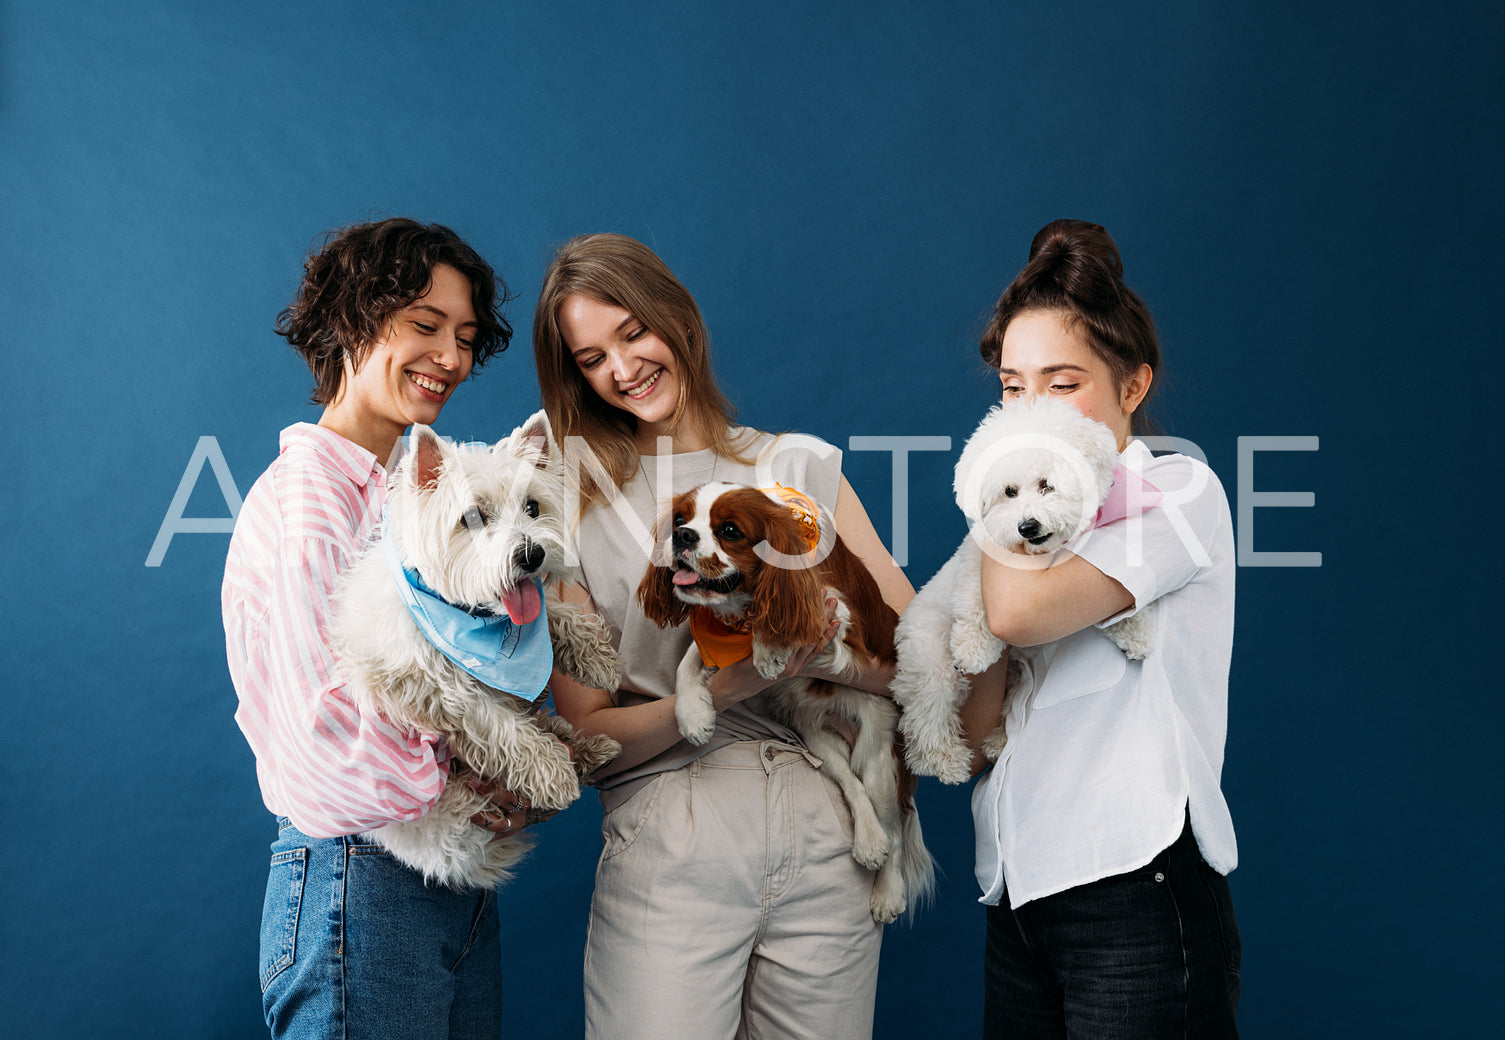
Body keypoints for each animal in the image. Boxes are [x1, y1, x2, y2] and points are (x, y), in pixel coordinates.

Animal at [335, 412, 623, 890]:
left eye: (533, 507)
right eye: (471, 518)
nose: (532, 554)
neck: (469, 617)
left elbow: (554, 612)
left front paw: (598, 658)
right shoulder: (445, 691)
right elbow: (506, 730)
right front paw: (553, 775)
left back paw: (590, 748)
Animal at [890, 397, 1149, 782]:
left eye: (1046, 485)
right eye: (1009, 492)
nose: (1027, 526)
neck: (1043, 555)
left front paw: (1135, 631)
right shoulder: (980, 557)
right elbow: (973, 598)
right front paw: (974, 647)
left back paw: (997, 741)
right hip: (930, 661)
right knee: (926, 715)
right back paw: (944, 760)